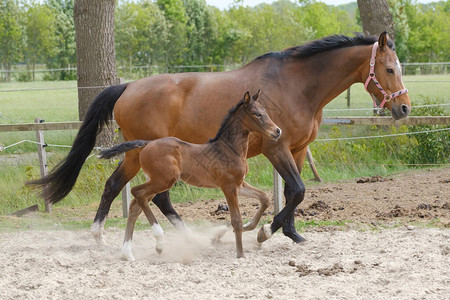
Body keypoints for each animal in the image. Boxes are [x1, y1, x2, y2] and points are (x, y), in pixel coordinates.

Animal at [100, 91, 282, 260]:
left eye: (265, 111)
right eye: (257, 114)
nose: (277, 131)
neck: (230, 149)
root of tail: (147, 144)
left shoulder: (239, 184)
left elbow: (264, 198)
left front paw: (252, 228)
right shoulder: (228, 186)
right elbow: (236, 219)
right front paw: (240, 254)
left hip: (155, 181)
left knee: (135, 206)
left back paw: (128, 254)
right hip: (164, 180)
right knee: (137, 193)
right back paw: (159, 242)